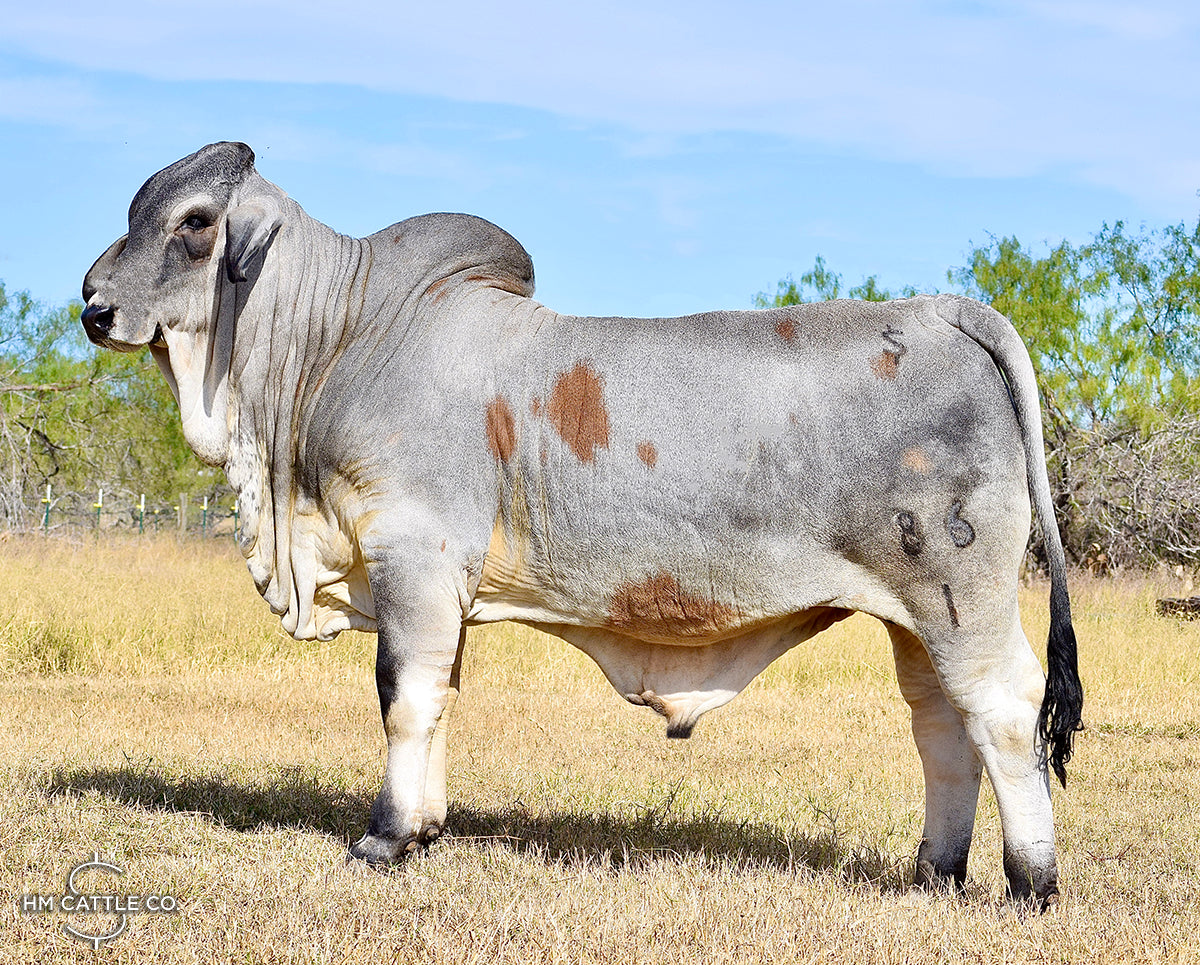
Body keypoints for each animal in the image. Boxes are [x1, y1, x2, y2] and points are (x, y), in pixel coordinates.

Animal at [79, 141, 1084, 902]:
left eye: (194, 223)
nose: (93, 305)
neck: (342, 337)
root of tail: (948, 310)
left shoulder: (411, 557)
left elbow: (403, 696)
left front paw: (385, 837)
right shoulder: (443, 586)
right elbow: (440, 694)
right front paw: (429, 828)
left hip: (963, 596)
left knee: (1002, 711)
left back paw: (1030, 881)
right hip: (917, 616)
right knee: (942, 725)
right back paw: (933, 871)